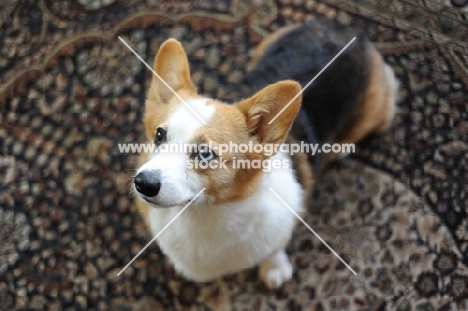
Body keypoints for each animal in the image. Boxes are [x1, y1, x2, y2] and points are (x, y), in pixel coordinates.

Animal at [133, 18, 396, 290]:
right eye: (159, 135)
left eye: (205, 154)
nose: (143, 183)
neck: (204, 214)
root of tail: (346, 28)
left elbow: (274, 250)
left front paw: (275, 270)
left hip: (375, 114)